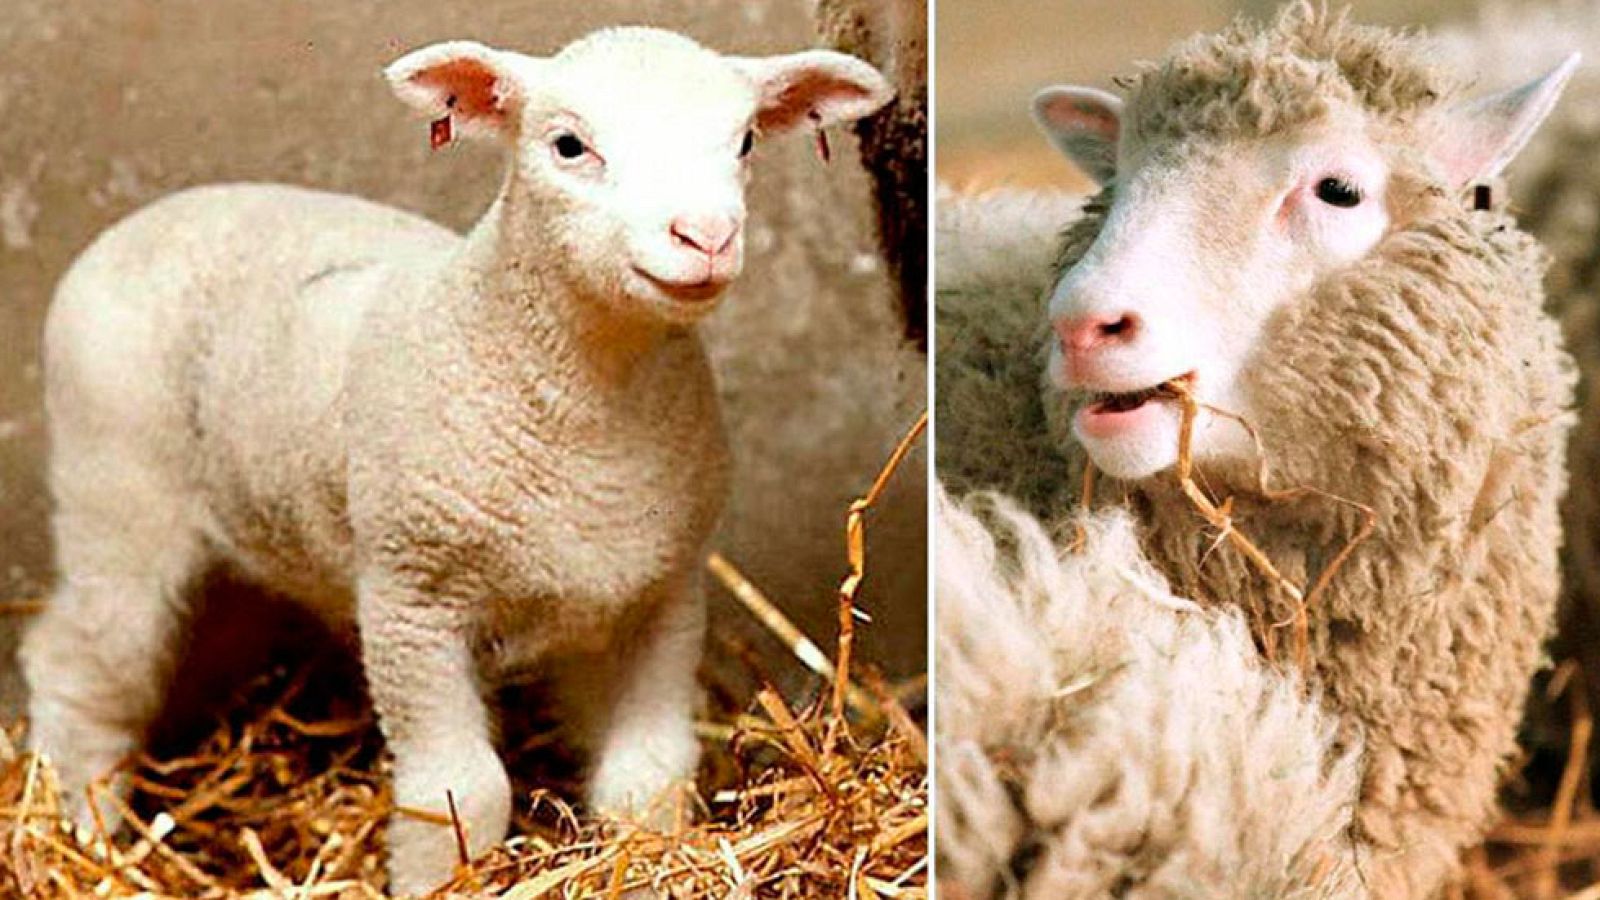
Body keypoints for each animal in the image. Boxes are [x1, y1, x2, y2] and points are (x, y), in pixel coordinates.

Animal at [18, 27, 891, 896]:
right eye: (569, 146)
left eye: (743, 142)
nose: (705, 236)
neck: (588, 414)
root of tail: (151, 215)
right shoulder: (413, 601)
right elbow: (460, 791)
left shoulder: (662, 595)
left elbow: (649, 774)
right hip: (116, 500)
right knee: (76, 667)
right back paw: (87, 839)